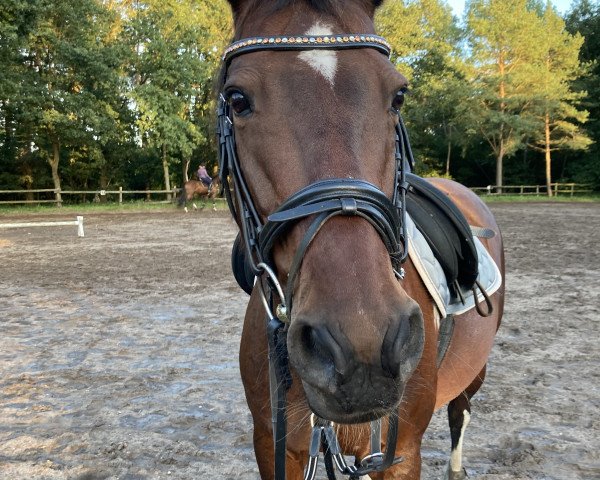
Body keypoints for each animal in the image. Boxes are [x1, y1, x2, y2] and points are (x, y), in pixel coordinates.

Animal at [216, 1, 502, 478]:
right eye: (238, 99)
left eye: (398, 95)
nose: (362, 346)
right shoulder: (275, 446)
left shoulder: (402, 451)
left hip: (472, 373)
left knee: (459, 411)